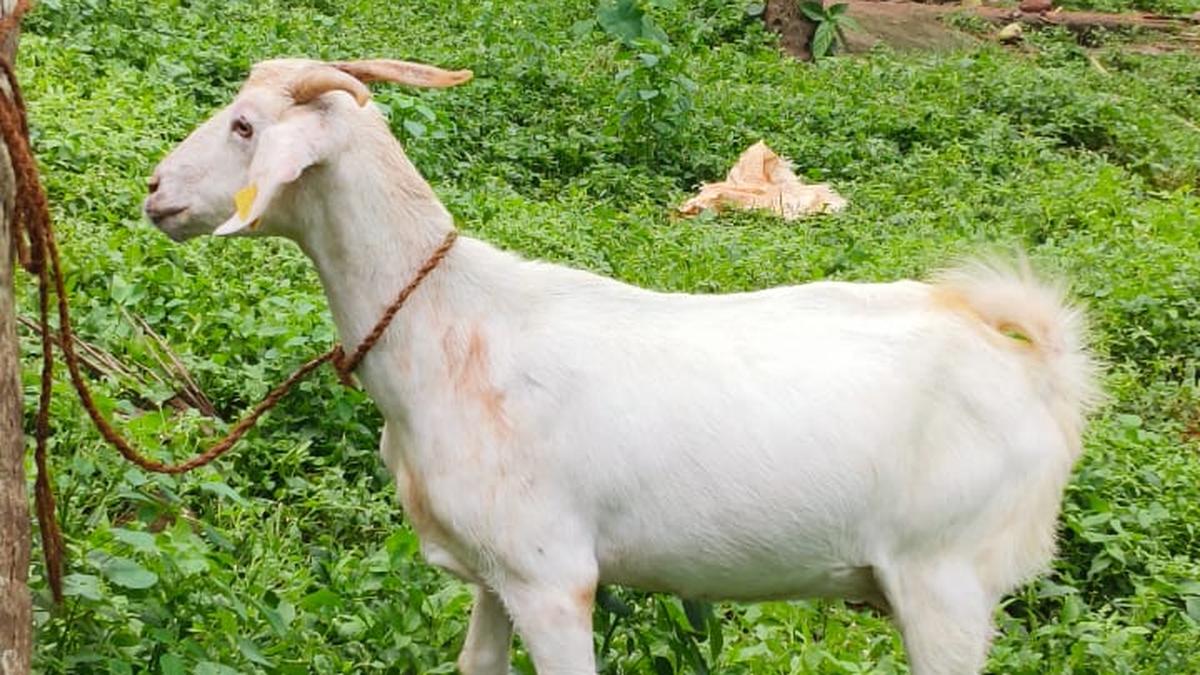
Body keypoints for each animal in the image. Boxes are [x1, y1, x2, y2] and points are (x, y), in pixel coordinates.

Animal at [144, 58, 1098, 675]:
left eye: (245, 125)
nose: (156, 192)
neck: (449, 323)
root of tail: (1038, 369)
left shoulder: (552, 576)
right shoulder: (494, 575)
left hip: (946, 577)